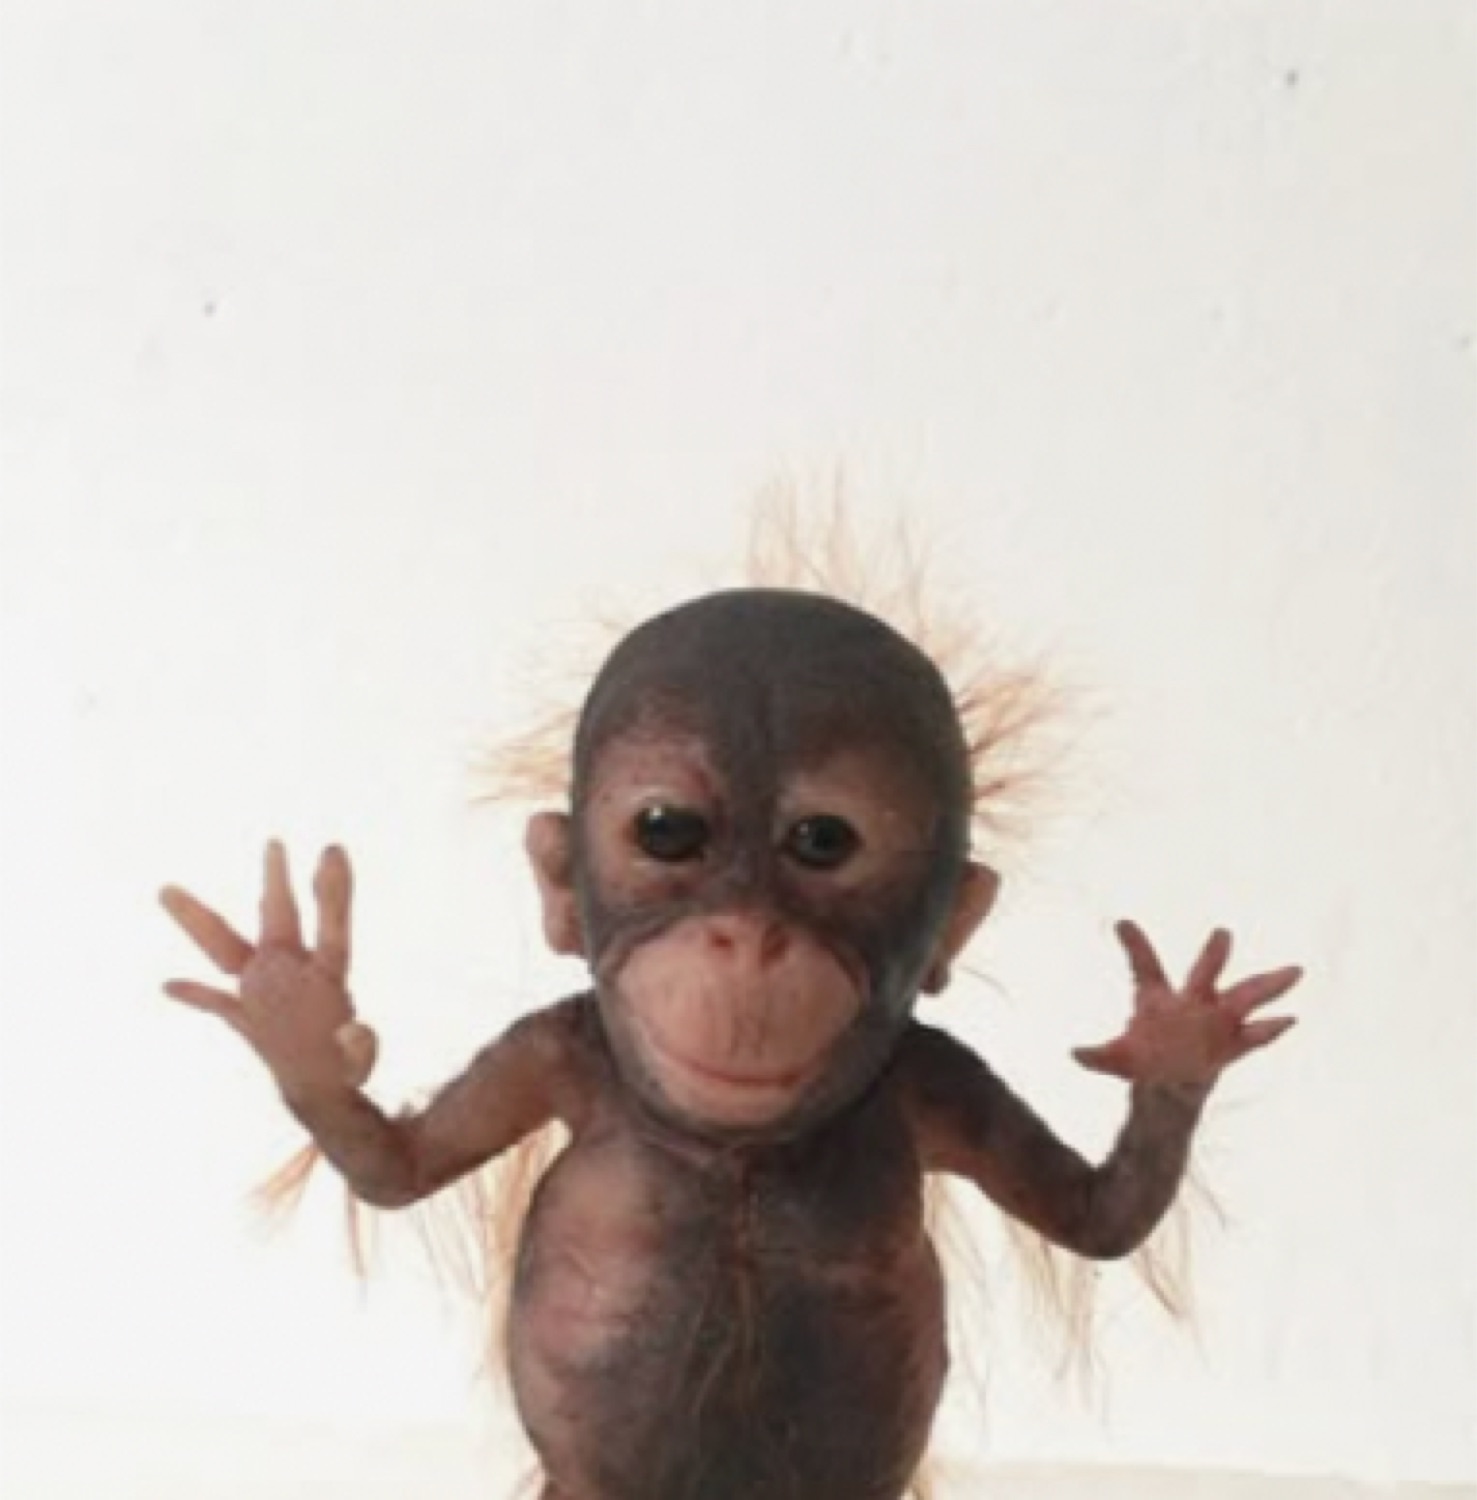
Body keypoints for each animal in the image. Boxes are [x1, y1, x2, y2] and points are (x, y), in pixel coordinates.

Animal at [160, 587, 1302, 1500]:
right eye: (668, 831)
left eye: (823, 841)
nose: (747, 937)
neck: (737, 1148)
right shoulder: (558, 1048)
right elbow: (396, 1170)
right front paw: (295, 1008)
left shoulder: (936, 1075)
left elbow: (1096, 1220)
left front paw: (1178, 1046)